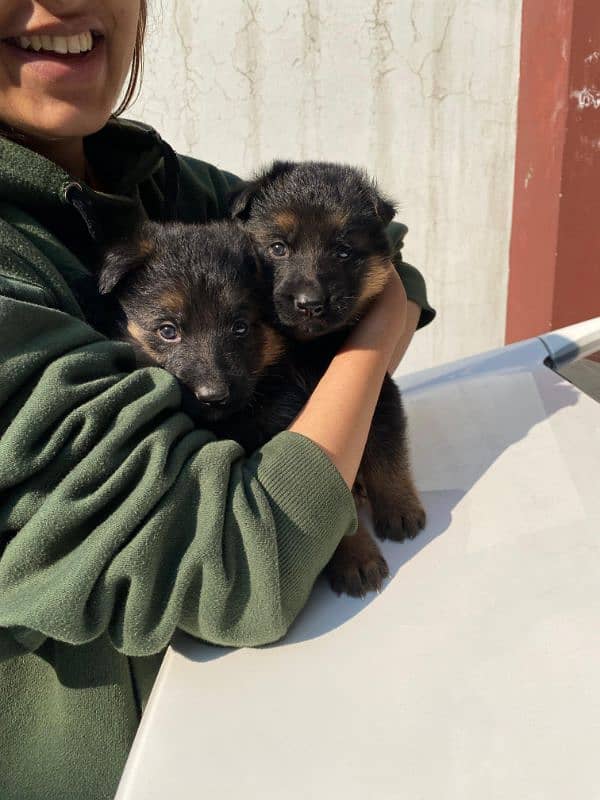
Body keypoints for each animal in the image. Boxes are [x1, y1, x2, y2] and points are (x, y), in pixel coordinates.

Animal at [231, 158, 426, 592]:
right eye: (278, 248)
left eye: (343, 251)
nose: (310, 303)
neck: (309, 351)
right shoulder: (277, 420)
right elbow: (338, 506)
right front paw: (357, 559)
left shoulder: (380, 395)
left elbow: (388, 456)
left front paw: (400, 508)